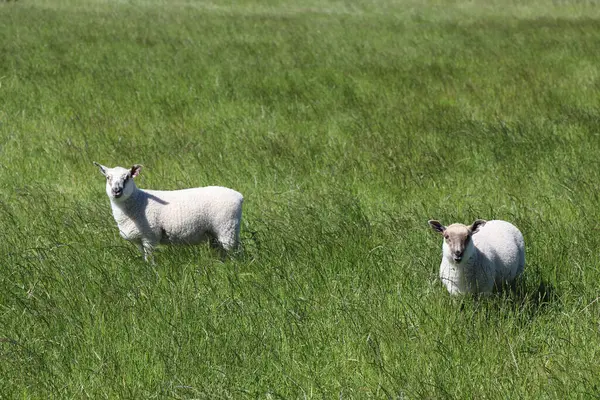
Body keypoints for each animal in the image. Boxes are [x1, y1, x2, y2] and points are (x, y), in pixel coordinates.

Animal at [94, 162, 244, 262]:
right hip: (215, 232)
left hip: (227, 227)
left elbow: (150, 258)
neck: (138, 201)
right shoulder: (139, 240)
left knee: (234, 250)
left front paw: (152, 272)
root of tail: (239, 196)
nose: (116, 190)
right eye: (108, 177)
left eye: (127, 177)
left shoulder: (150, 236)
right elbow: (144, 258)